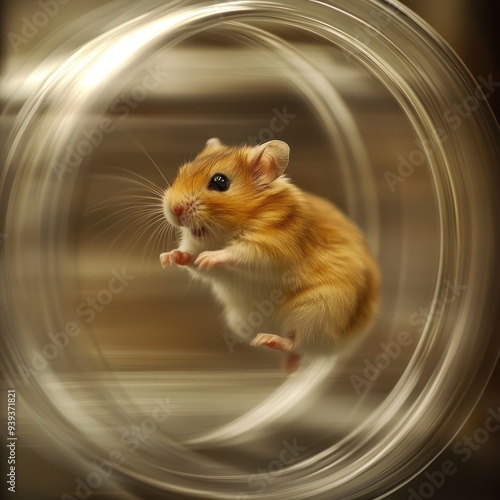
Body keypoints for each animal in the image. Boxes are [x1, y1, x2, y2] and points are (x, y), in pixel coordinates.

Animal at [160, 137, 378, 372]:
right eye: (182, 171)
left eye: (220, 182)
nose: (173, 209)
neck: (223, 234)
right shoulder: (203, 254)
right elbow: (190, 258)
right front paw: (167, 258)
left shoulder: (271, 247)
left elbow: (239, 253)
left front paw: (209, 257)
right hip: (242, 321)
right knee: (296, 351)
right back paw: (287, 365)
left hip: (318, 310)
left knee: (296, 342)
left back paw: (268, 340)